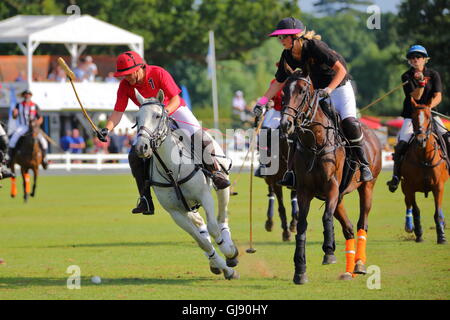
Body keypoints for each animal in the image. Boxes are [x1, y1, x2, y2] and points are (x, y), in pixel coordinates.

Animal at [134, 89, 239, 280]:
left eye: (157, 115)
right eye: (137, 118)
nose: (141, 147)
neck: (171, 170)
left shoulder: (204, 196)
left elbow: (213, 228)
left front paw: (230, 254)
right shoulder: (175, 212)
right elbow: (201, 241)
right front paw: (226, 269)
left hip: (222, 185)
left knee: (221, 217)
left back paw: (229, 247)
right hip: (188, 207)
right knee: (201, 226)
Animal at [282, 70, 384, 284]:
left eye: (302, 91)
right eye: (284, 91)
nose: (285, 124)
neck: (315, 141)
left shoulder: (331, 187)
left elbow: (325, 216)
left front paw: (329, 252)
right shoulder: (304, 190)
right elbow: (302, 226)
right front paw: (300, 269)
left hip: (367, 187)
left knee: (362, 223)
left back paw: (359, 264)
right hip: (341, 197)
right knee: (349, 228)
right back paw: (349, 270)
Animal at [400, 102, 446, 242]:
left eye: (429, 118)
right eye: (413, 119)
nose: (421, 140)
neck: (424, 158)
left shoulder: (438, 186)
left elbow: (437, 212)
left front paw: (441, 236)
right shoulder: (409, 187)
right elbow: (416, 210)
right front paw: (419, 233)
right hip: (403, 185)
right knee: (407, 203)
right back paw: (409, 226)